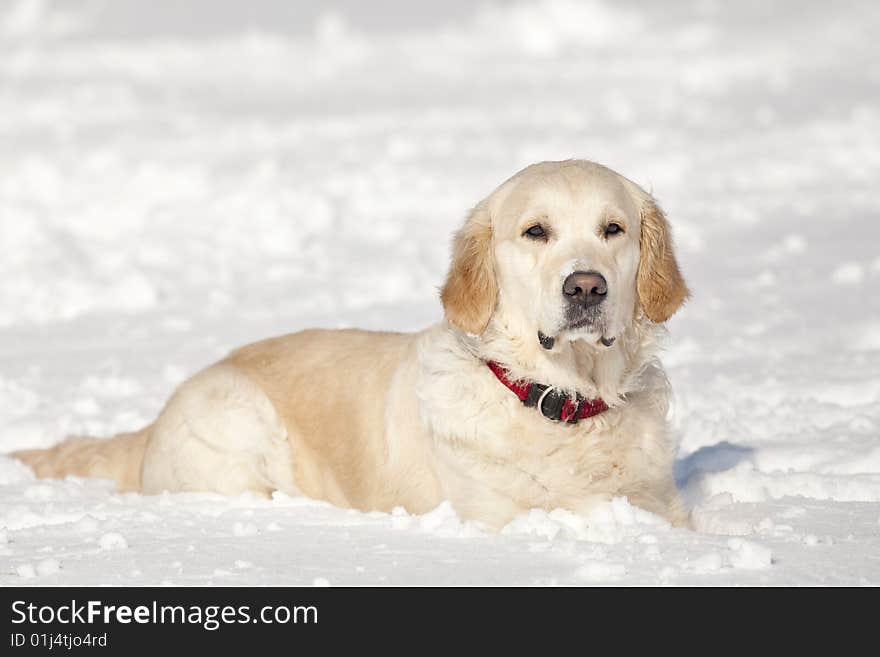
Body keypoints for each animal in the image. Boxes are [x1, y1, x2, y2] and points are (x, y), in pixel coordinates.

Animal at [10, 159, 692, 528]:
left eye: (613, 229)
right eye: (535, 232)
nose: (587, 286)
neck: (564, 398)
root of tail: (152, 423)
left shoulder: (660, 505)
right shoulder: (494, 516)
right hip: (235, 414)